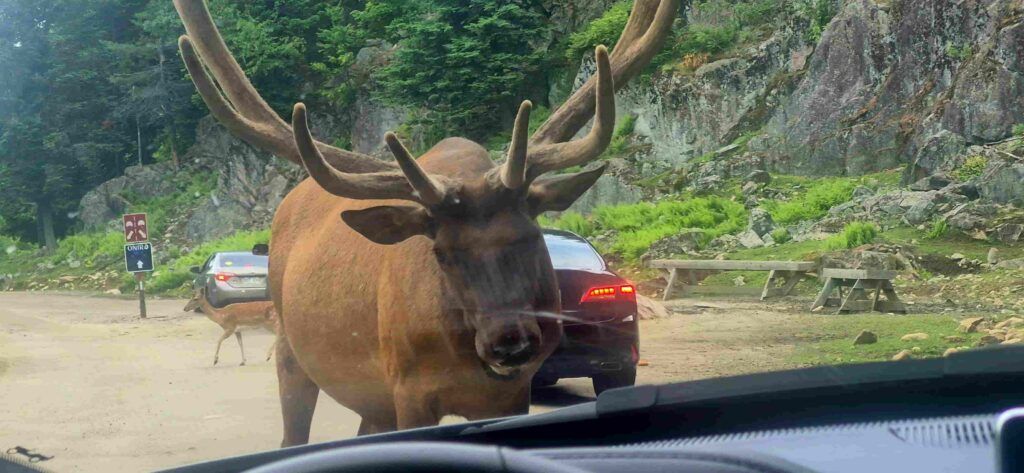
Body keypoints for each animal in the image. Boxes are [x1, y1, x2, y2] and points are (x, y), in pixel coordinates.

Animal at [173, 0, 677, 446]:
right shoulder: (409, 388)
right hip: (293, 351)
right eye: (441, 254)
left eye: (532, 237)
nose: (509, 343)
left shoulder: (512, 392)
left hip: (370, 394)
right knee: (293, 429)